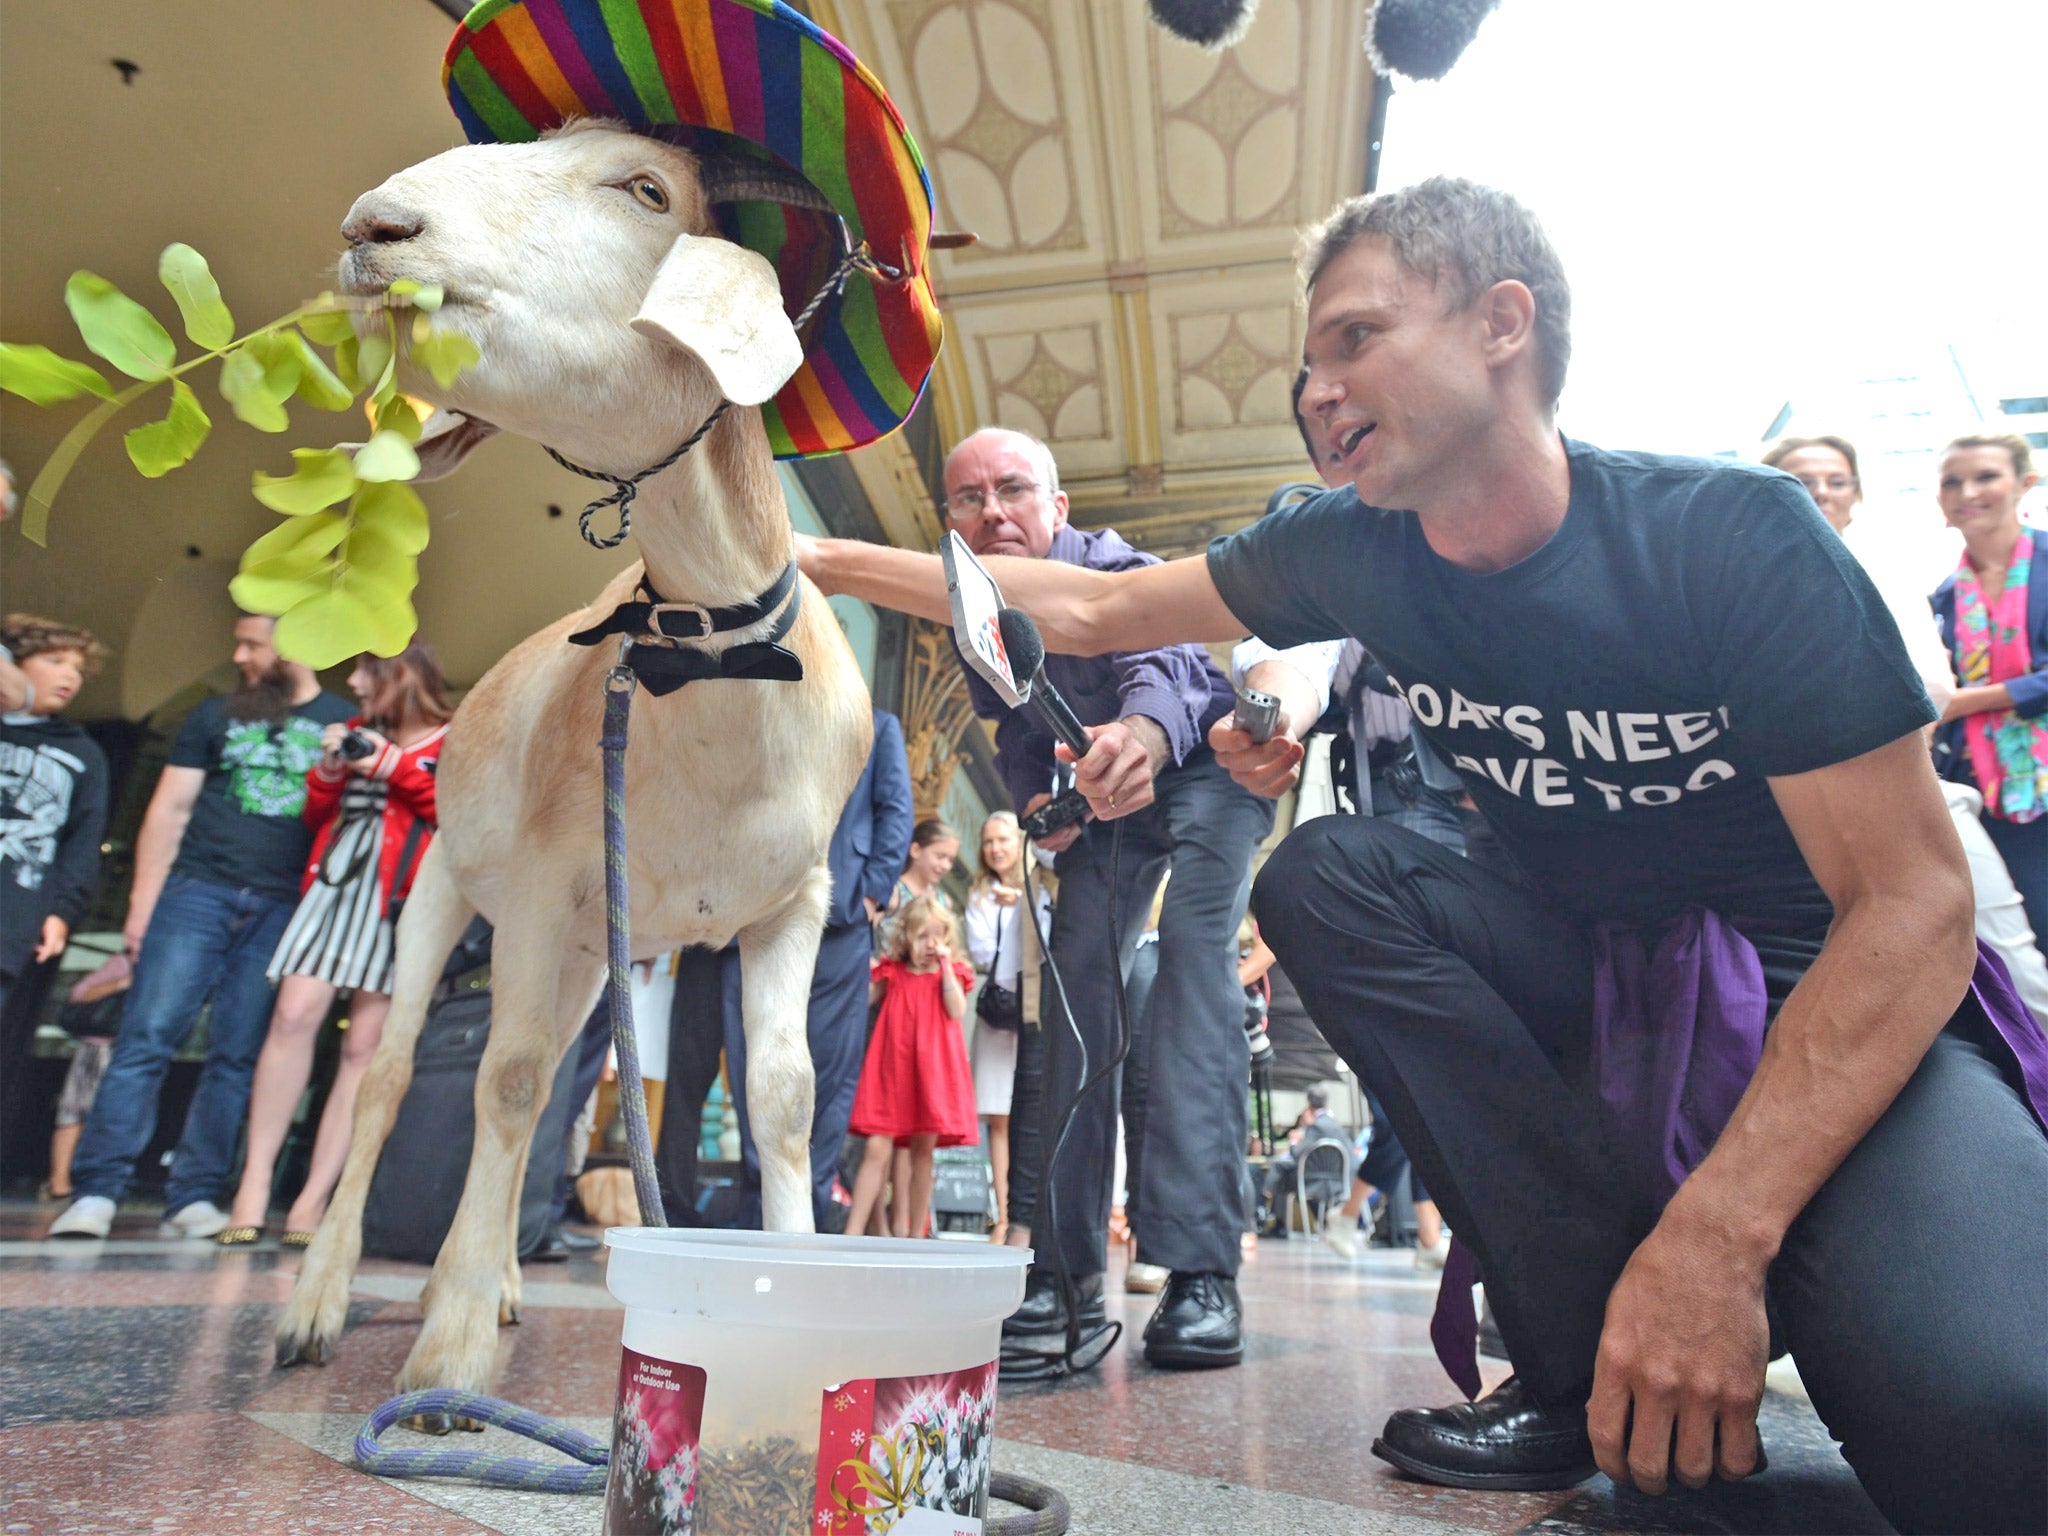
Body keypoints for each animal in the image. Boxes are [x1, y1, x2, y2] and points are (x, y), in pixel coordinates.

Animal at [274, 120, 872, 1392]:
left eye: (646, 189)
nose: (373, 227)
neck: (716, 675)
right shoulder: (549, 876)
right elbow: (495, 1081)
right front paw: (444, 1365)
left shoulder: (791, 904)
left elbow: (785, 1099)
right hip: (448, 886)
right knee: (398, 1078)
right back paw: (322, 1302)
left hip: (598, 955)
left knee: (550, 1070)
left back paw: (495, 1277)